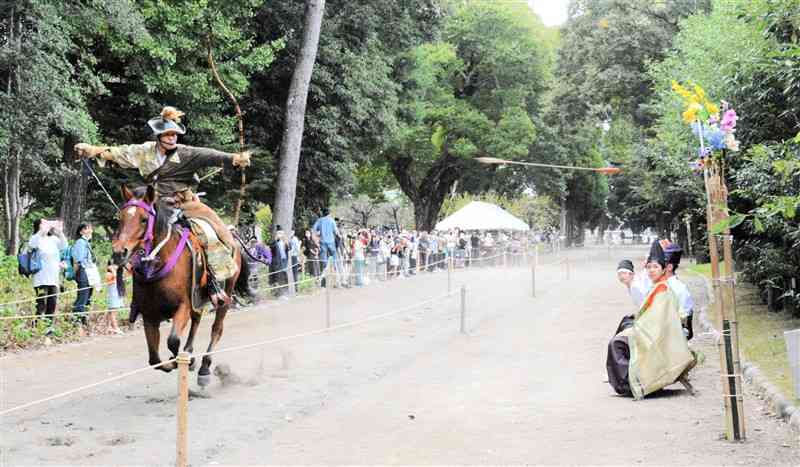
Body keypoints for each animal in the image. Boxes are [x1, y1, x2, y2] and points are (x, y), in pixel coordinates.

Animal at [111, 186, 252, 388]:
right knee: (197, 319)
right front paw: (180, 361)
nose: (119, 252)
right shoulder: (149, 316)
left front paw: (184, 360)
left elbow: (172, 341)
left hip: (226, 291)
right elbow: (154, 359)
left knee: (216, 328)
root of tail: (231, 235)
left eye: (144, 219)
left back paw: (204, 368)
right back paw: (190, 353)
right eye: (121, 218)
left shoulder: (182, 307)